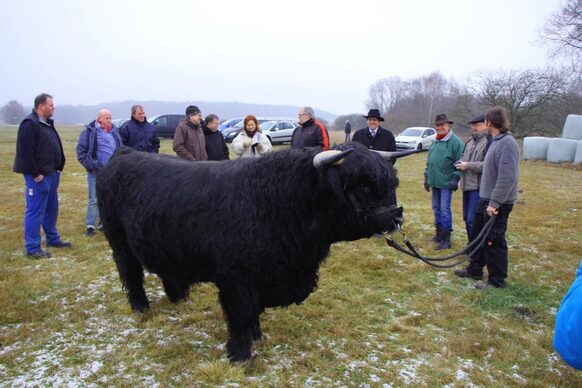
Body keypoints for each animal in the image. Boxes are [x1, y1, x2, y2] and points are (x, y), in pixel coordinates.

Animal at [96, 143, 416, 360]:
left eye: (392, 182)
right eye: (360, 184)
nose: (395, 216)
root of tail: (124, 153)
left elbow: (253, 313)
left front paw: (257, 336)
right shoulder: (236, 279)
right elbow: (240, 315)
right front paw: (240, 354)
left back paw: (178, 298)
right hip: (118, 240)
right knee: (131, 274)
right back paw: (141, 308)